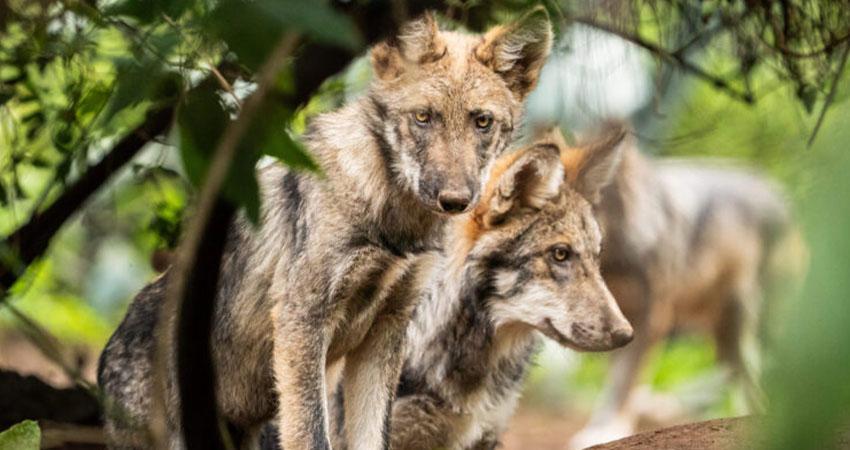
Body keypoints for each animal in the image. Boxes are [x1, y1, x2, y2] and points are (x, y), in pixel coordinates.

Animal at [97, 9, 552, 450]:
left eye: (482, 122)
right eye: (423, 117)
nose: (455, 200)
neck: (391, 222)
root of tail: (106, 353)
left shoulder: (386, 331)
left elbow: (374, 437)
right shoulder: (303, 320)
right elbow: (313, 435)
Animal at [568, 134, 806, 449]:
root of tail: (776, 191)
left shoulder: (648, 319)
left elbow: (622, 382)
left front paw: (605, 429)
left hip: (753, 332)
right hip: (725, 343)